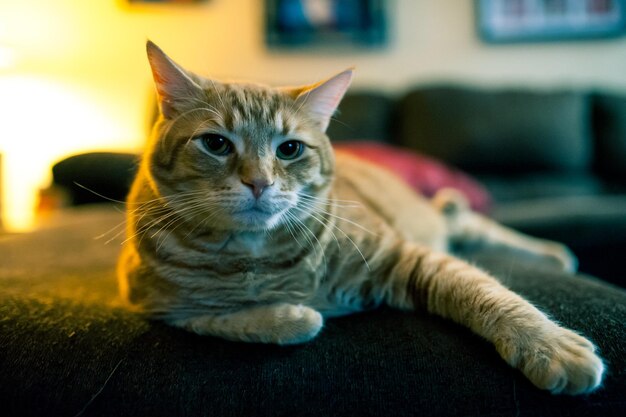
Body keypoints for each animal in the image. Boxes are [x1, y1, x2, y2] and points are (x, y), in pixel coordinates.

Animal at [116, 40, 600, 394]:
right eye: (216, 144)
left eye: (289, 149)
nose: (259, 183)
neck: (257, 259)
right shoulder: (154, 303)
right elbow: (225, 318)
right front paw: (291, 315)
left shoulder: (404, 257)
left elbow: (486, 292)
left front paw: (548, 345)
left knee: (471, 224)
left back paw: (553, 253)